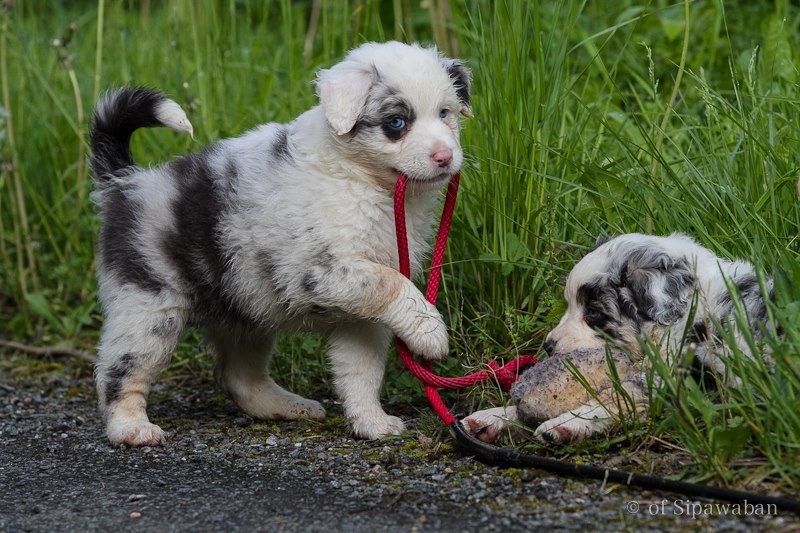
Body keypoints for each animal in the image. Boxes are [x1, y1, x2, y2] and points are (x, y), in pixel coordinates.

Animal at [90, 41, 472, 446]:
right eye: (396, 123)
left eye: (445, 113)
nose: (445, 157)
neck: (360, 179)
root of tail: (124, 181)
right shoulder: (323, 271)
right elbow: (394, 286)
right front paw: (430, 333)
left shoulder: (361, 311)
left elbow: (361, 368)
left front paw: (372, 421)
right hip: (147, 307)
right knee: (119, 371)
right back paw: (131, 428)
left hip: (244, 305)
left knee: (238, 376)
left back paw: (289, 406)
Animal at [462, 233, 774, 444]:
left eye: (594, 313)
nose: (548, 346)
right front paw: (494, 416)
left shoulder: (684, 378)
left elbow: (620, 397)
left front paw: (566, 424)